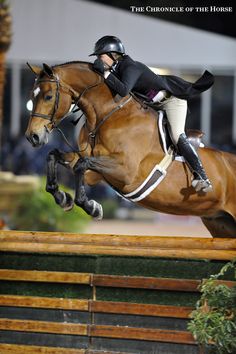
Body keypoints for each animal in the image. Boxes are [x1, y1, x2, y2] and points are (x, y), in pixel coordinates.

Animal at [24, 61, 236, 238]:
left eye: (48, 96)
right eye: (31, 96)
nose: (32, 136)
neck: (107, 115)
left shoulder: (125, 171)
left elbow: (81, 165)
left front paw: (92, 207)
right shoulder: (95, 172)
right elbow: (55, 156)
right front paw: (63, 198)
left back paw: (202, 181)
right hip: (220, 223)